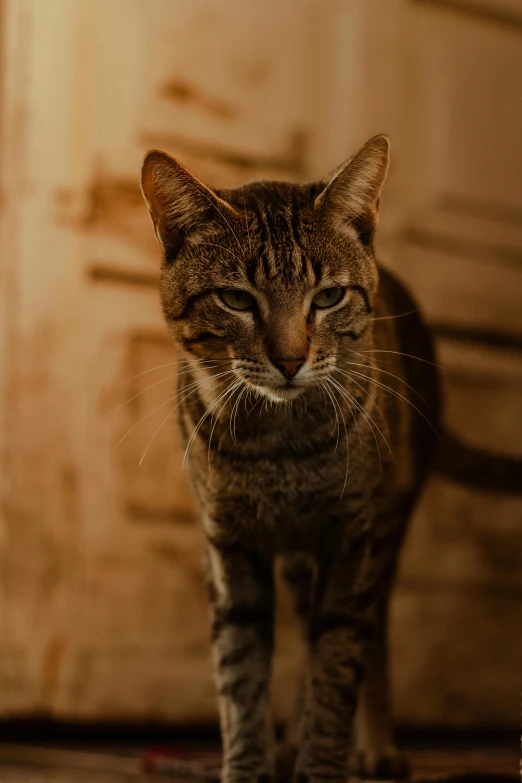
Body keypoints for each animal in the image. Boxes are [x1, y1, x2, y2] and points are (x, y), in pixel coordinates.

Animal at [141, 136, 438, 783]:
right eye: (235, 299)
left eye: (327, 297)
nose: (290, 360)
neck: (279, 447)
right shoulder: (229, 546)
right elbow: (241, 673)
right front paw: (250, 764)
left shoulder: (352, 541)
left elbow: (337, 667)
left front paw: (323, 762)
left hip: (387, 532)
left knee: (369, 633)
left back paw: (375, 745)